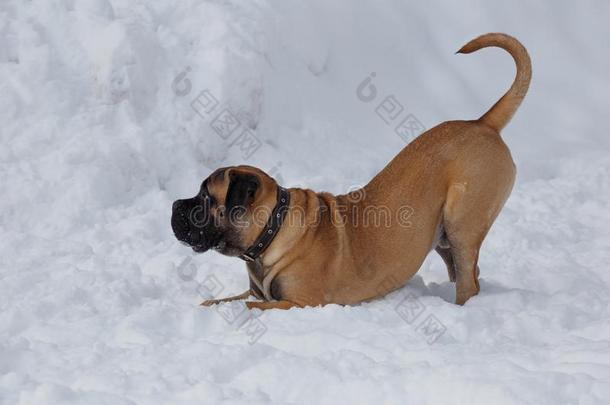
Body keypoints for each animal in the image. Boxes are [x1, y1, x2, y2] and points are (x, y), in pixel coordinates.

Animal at [170, 32, 528, 310]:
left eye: (205, 196)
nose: (174, 205)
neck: (272, 228)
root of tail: (483, 124)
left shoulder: (300, 302)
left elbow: (250, 306)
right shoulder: (257, 291)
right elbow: (226, 299)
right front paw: (208, 303)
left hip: (462, 223)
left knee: (469, 282)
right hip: (444, 237)